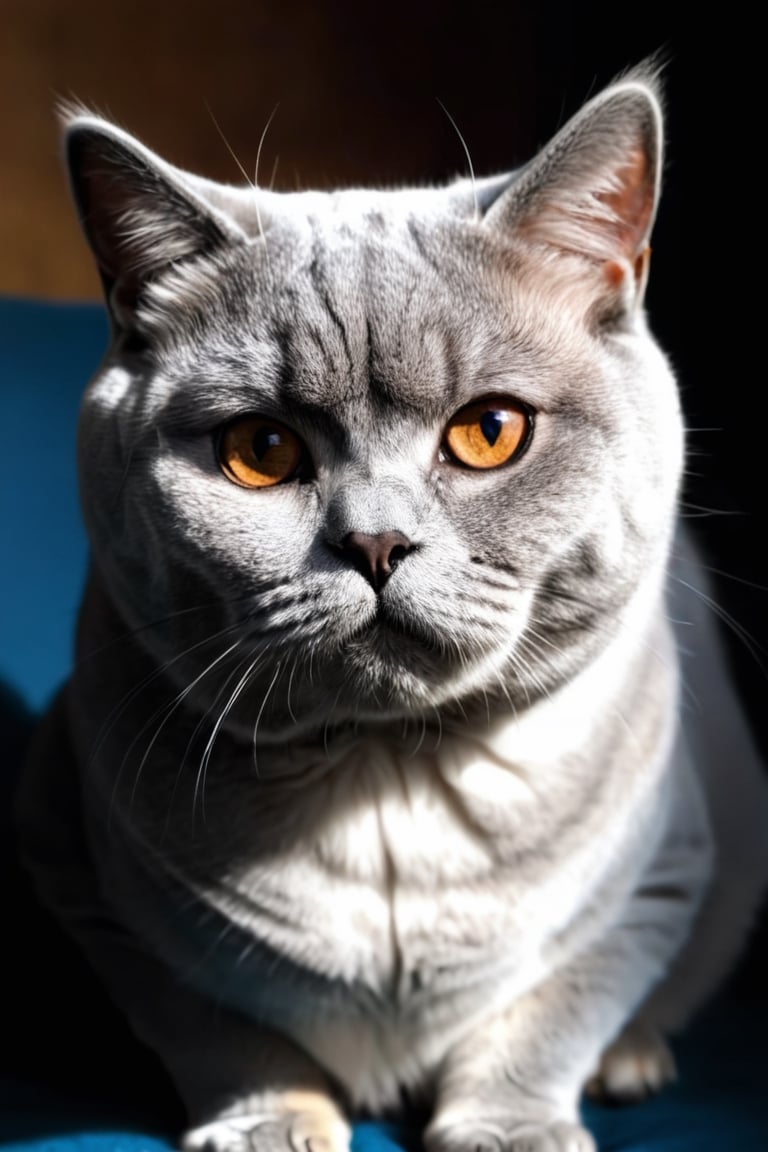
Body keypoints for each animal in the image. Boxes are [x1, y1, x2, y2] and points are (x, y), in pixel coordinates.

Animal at [15, 65, 768, 1152]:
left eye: (492, 432)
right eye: (261, 449)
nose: (374, 545)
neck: (386, 773)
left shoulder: (659, 879)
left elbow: (549, 1016)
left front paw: (509, 1130)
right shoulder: (92, 886)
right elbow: (220, 1030)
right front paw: (272, 1126)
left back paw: (632, 1064)